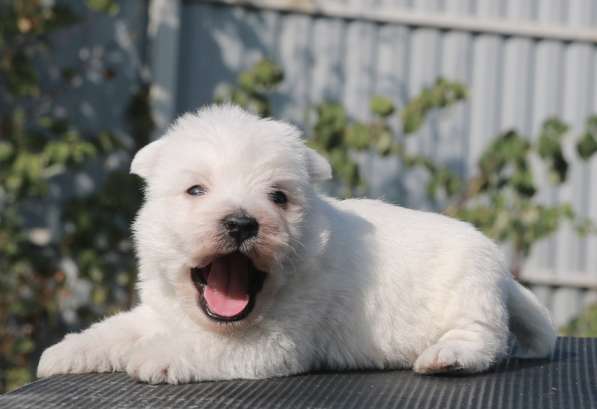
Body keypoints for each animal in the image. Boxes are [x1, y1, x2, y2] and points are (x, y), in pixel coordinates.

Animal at [37, 104, 556, 382]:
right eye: (195, 190)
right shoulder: (158, 312)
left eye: (279, 197)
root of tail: (502, 273)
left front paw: (154, 357)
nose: (242, 223)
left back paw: (447, 357)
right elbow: (116, 328)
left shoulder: (274, 342)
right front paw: (64, 352)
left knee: (485, 339)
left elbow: (197, 346)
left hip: (468, 294)